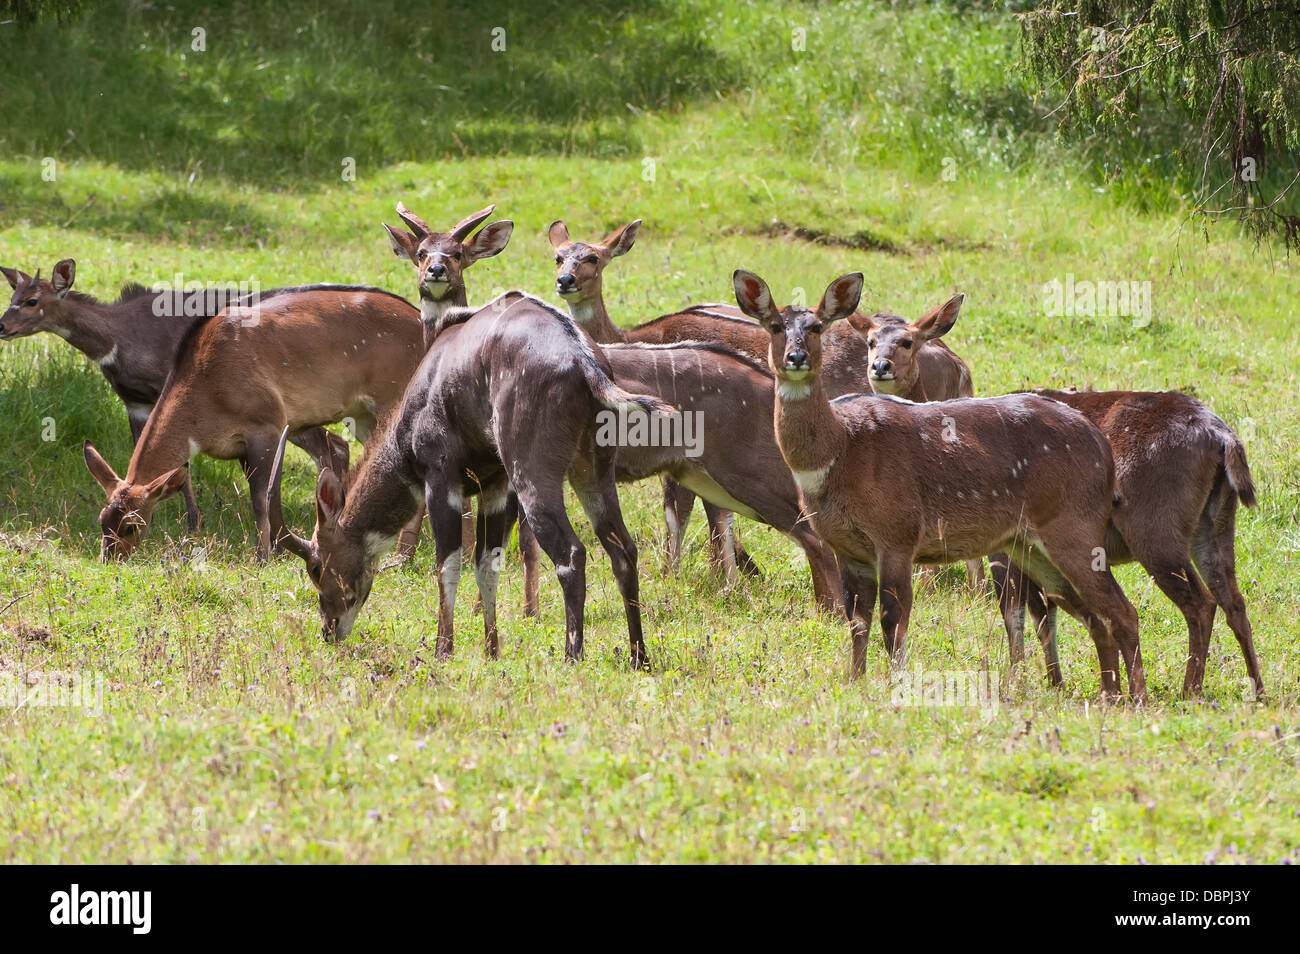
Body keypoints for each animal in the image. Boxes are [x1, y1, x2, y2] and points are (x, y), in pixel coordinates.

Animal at [81, 287, 423, 564]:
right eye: (102, 520)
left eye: (131, 526)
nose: (109, 559)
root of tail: (423, 323)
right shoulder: (240, 445)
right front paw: (277, 551)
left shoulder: (266, 423)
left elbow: (261, 499)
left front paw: (264, 557)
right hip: (364, 418)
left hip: (391, 398)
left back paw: (403, 557)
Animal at [278, 291, 676, 670]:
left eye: (316, 567)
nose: (329, 629)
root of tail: (585, 362)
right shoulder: (495, 485)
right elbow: (487, 564)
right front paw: (491, 650)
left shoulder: (441, 480)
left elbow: (448, 564)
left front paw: (443, 650)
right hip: (592, 471)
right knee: (623, 548)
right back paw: (639, 657)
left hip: (532, 471)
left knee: (572, 554)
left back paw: (572, 657)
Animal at [733, 269, 1149, 701]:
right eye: (774, 325)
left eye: (816, 326)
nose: (795, 357)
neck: (840, 451)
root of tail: (1104, 452)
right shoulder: (846, 547)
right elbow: (857, 620)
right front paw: (855, 680)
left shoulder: (897, 534)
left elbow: (893, 619)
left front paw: (895, 686)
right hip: (1033, 547)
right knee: (1091, 615)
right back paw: (1109, 694)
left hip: (1074, 529)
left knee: (1122, 610)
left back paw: (1136, 698)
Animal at [987, 392, 1263, 696]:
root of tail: (1224, 438)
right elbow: (1045, 614)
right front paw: (1055, 685)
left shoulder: (1004, 549)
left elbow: (1017, 617)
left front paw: (1019, 685)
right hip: (1217, 523)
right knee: (1234, 602)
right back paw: (1258, 691)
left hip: (1155, 533)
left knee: (1201, 603)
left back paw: (1188, 691)